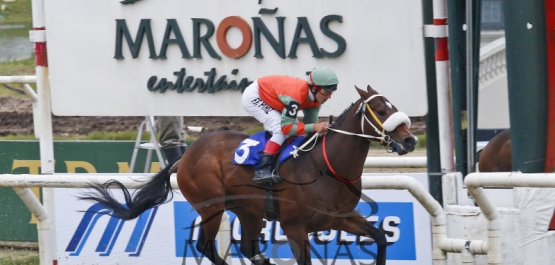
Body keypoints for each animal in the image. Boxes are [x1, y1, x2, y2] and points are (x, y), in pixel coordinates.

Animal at [79, 85, 416, 264]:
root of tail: (185, 156)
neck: (326, 168)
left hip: (248, 211)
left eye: (394, 106)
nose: (411, 140)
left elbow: (380, 237)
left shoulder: (340, 217)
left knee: (245, 247)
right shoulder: (295, 227)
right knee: (205, 247)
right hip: (211, 207)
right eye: (382, 112)